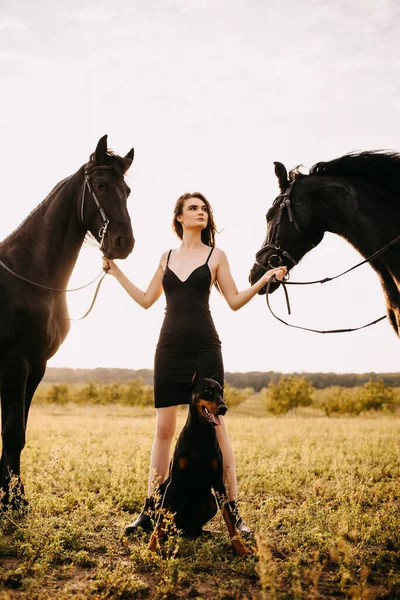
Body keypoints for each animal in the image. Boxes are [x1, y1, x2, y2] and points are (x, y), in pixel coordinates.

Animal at [0, 135, 135, 502]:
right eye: (100, 185)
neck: (29, 276)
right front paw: (11, 499)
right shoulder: (15, 363)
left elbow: (18, 430)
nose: (124, 243)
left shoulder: (37, 366)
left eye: (127, 191)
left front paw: (13, 495)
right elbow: (12, 431)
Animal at [148, 376, 250, 556]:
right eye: (207, 391)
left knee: (195, 527)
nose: (223, 408)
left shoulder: (218, 484)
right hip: (163, 490)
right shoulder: (173, 483)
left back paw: (202, 533)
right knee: (166, 523)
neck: (200, 433)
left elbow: (229, 518)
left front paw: (241, 547)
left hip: (210, 501)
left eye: (221, 392)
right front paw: (150, 548)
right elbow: (160, 522)